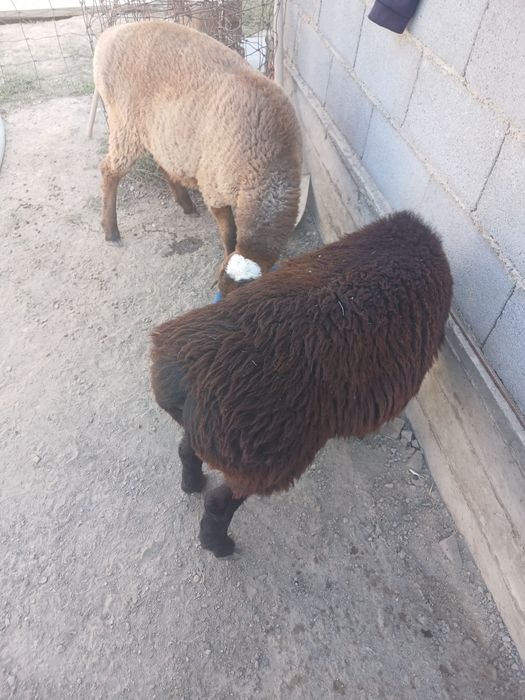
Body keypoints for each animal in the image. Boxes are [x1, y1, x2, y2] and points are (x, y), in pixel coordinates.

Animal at [89, 21, 302, 296]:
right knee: (109, 171)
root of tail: (110, 33)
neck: (269, 161)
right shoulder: (214, 187)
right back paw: (111, 231)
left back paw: (186, 204)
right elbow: (230, 233)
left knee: (163, 165)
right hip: (125, 125)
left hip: (161, 133)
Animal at [150, 211, 453, 557]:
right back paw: (219, 545)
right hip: (260, 463)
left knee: (186, 451)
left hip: (206, 434)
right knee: (219, 503)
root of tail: (182, 381)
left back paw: (192, 484)